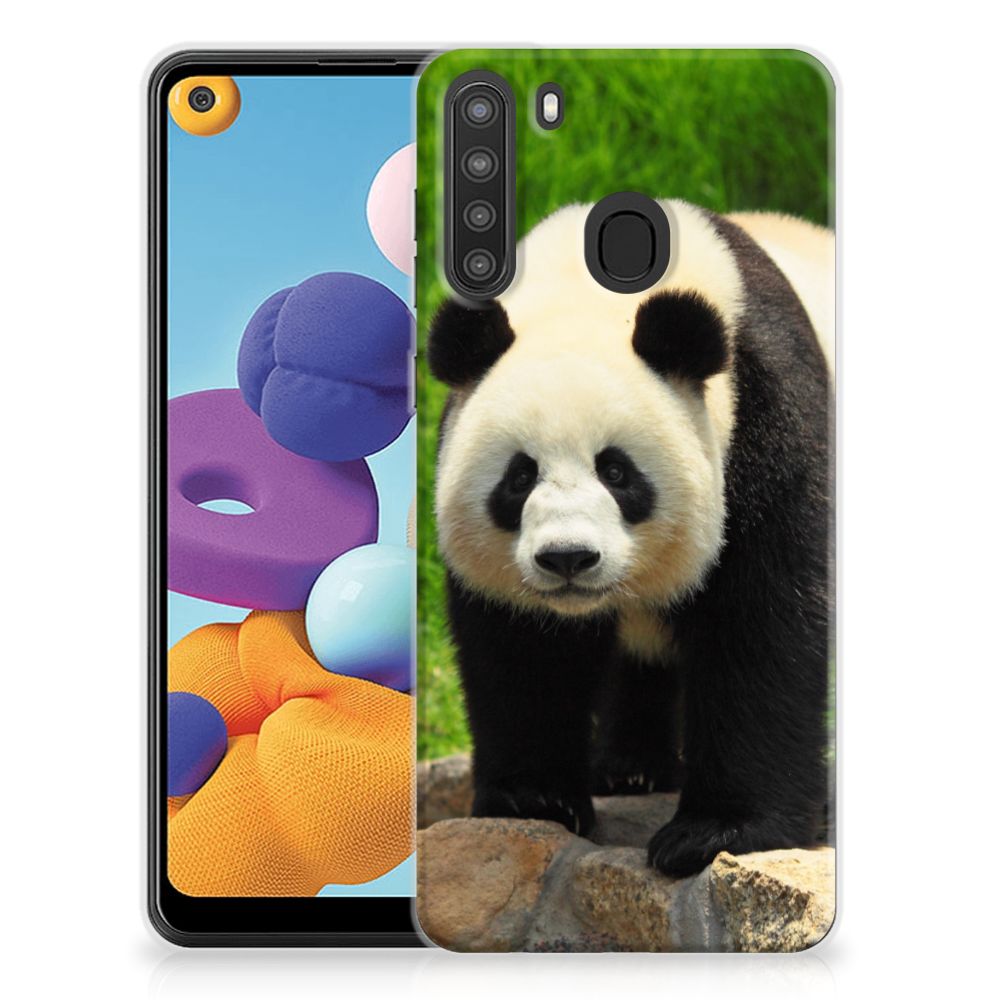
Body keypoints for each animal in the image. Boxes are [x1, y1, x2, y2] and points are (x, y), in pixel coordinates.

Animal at [426, 200, 833, 877]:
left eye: (616, 472)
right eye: (519, 476)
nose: (568, 558)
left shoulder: (768, 418)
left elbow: (764, 623)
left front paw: (715, 832)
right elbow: (522, 648)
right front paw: (534, 799)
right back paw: (630, 769)